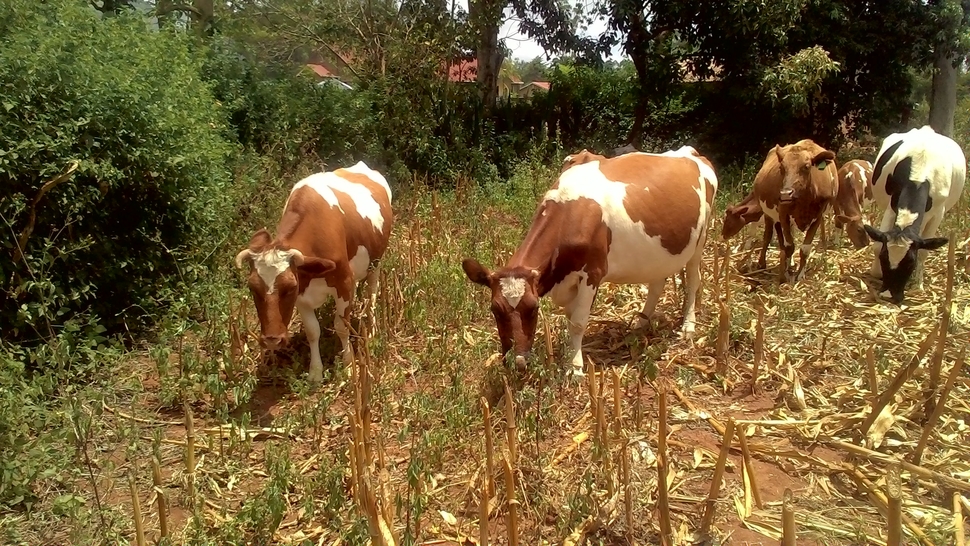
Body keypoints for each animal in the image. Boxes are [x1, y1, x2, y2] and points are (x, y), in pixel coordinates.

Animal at [235, 162, 394, 380]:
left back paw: (371, 329)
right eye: (252, 288)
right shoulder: (303, 294)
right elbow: (313, 331)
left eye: (289, 288)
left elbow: (341, 326)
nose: (271, 340)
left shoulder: (344, 283)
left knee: (372, 294)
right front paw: (315, 373)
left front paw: (348, 364)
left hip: (376, 262)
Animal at [462, 147, 720, 376]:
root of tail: (689, 152)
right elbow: (569, 320)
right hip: (659, 254)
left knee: (693, 281)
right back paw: (641, 322)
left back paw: (688, 326)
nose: (517, 363)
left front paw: (574, 367)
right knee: (657, 283)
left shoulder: (592, 273)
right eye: (495, 309)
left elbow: (577, 322)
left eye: (533, 308)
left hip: (701, 240)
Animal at [720, 139, 840, 280]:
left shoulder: (818, 216)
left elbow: (805, 248)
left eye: (806, 166)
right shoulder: (781, 214)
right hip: (770, 214)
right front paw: (786, 274)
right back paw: (763, 263)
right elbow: (787, 245)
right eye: (782, 167)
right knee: (768, 236)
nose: (785, 194)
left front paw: (800, 276)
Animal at [864, 125, 960, 302]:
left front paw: (917, 285)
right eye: (884, 257)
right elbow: (878, 244)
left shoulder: (938, 213)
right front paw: (876, 272)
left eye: (910, 262)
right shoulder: (892, 207)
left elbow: (923, 250)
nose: (888, 295)